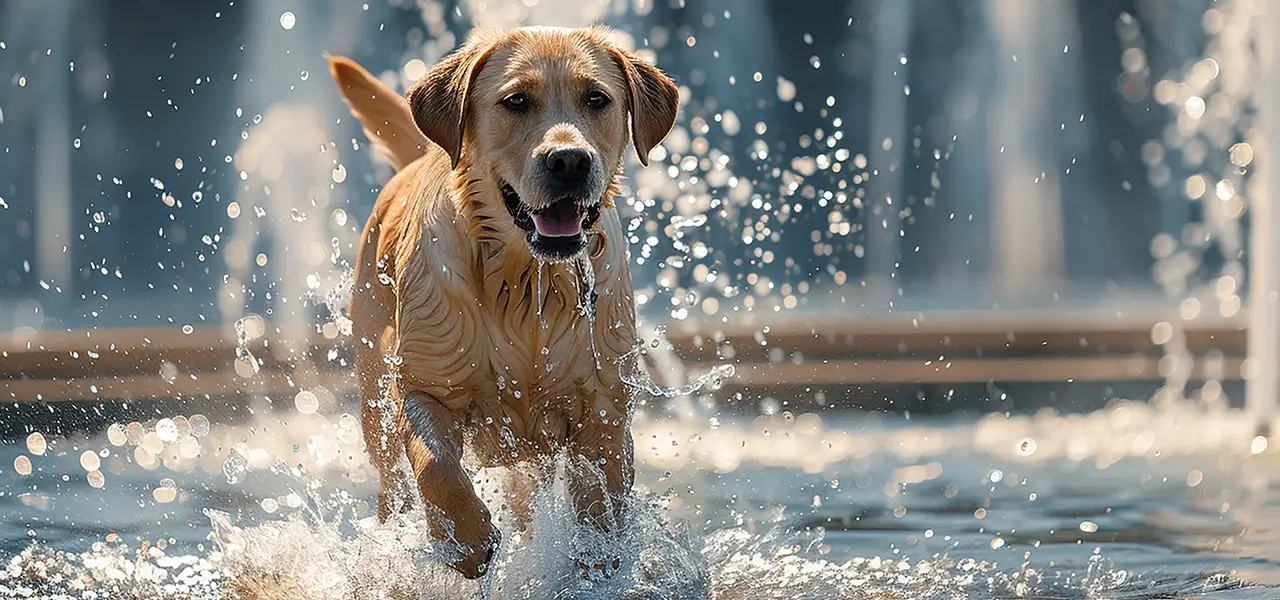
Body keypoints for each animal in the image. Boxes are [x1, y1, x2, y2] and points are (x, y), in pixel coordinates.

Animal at [327, 25, 680, 578]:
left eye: (597, 99)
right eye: (516, 101)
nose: (569, 160)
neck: (527, 281)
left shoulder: (605, 407)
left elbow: (601, 498)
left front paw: (595, 561)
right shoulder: (426, 385)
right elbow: (438, 468)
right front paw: (468, 541)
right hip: (374, 399)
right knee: (392, 484)